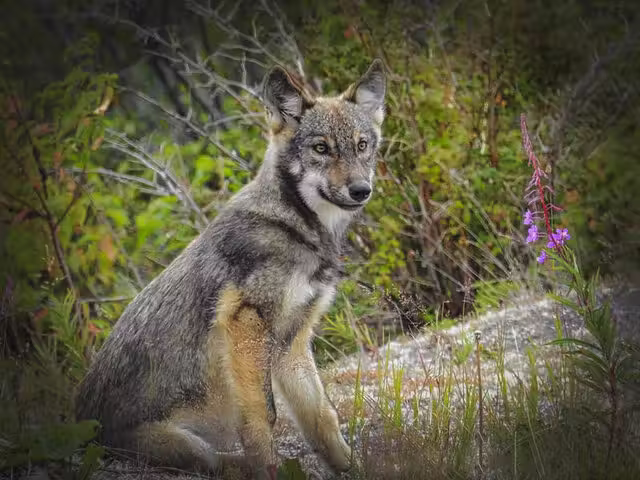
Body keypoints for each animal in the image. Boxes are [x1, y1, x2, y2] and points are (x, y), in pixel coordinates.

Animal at [75, 59, 386, 479]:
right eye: (321, 148)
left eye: (362, 145)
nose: (360, 190)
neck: (298, 228)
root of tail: (80, 425)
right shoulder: (245, 324)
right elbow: (263, 417)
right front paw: (270, 468)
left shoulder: (291, 343)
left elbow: (322, 417)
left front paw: (351, 468)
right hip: (189, 445)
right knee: (214, 461)